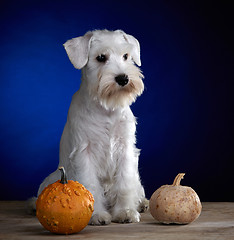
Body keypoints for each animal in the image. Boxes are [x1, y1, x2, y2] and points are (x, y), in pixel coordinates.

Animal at [35, 30, 148, 225]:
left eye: (126, 56)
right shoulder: (84, 152)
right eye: (101, 57)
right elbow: (90, 185)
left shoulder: (125, 149)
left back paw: (142, 203)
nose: (123, 78)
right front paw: (97, 215)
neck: (106, 109)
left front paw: (125, 211)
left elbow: (125, 184)